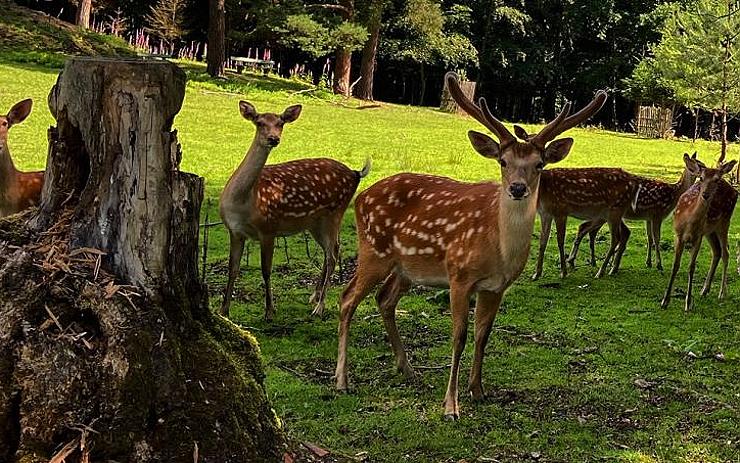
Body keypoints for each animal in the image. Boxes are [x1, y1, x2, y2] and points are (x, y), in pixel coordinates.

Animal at [218, 100, 370, 320]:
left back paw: (319, 307)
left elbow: (266, 270)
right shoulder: (235, 231)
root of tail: (356, 173)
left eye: (280, 123)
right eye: (259, 122)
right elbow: (233, 268)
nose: (273, 139)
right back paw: (314, 296)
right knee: (331, 250)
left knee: (333, 254)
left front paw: (270, 311)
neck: (243, 202)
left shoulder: (269, 228)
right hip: (315, 223)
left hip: (335, 212)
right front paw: (223, 311)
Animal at [336, 72, 608, 420]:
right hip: (373, 250)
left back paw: (408, 368)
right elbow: (459, 336)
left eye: (539, 164)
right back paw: (342, 381)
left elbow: (483, 335)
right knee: (347, 299)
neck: (499, 251)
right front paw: (451, 406)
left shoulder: (496, 287)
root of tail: (361, 197)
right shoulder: (459, 275)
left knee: (384, 300)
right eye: (503, 161)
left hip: (406, 267)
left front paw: (478, 390)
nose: (517, 188)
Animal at [568, 154, 700, 272]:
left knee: (585, 228)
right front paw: (659, 265)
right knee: (585, 228)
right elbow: (656, 239)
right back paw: (577, 261)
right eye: (700, 165)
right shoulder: (657, 213)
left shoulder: (648, 217)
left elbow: (649, 238)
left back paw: (583, 261)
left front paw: (648, 262)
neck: (674, 195)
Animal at [660, 156, 736, 312]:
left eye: (716, 180)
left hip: (725, 221)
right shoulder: (678, 235)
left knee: (726, 252)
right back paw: (704, 290)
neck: (689, 223)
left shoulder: (698, 237)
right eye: (701, 178)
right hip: (710, 230)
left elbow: (691, 267)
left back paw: (722, 293)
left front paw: (688, 303)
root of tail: (735, 191)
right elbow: (675, 265)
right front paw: (665, 301)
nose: (705, 194)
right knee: (717, 251)